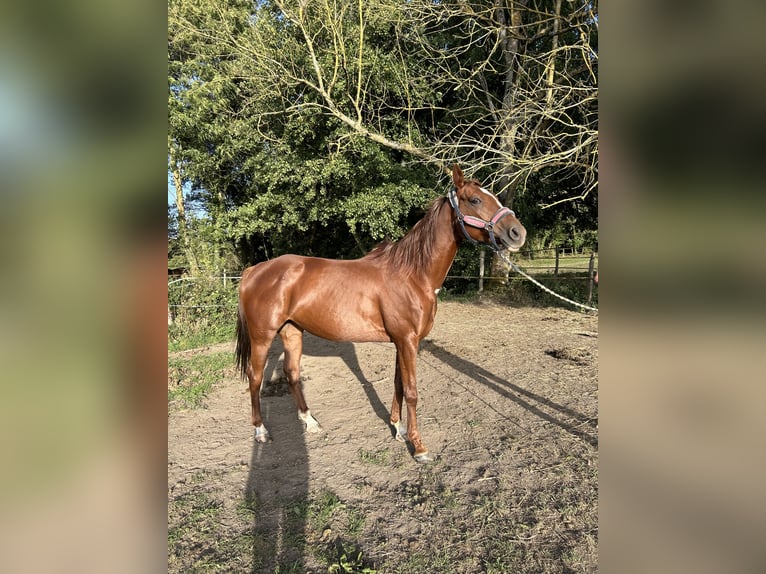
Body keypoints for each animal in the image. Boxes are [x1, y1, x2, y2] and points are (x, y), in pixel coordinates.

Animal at [237, 165, 524, 464]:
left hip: (292, 330)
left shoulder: (404, 341)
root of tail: (254, 270)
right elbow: (411, 391)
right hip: (262, 337)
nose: (517, 232)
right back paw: (261, 431)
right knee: (254, 377)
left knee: (291, 373)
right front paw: (418, 447)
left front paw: (398, 428)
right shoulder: (406, 340)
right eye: (475, 200)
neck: (412, 274)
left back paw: (310, 422)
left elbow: (398, 384)